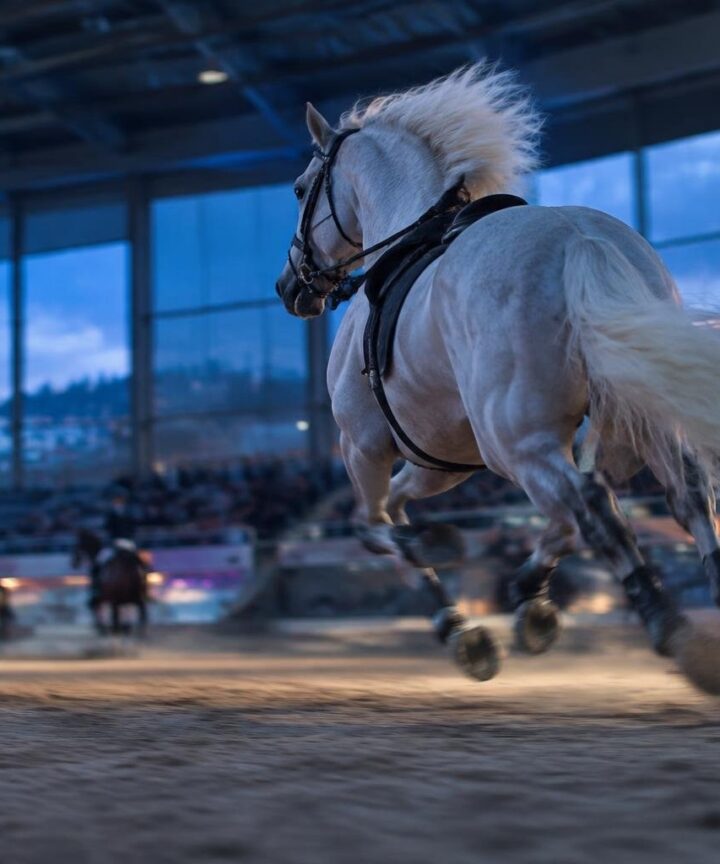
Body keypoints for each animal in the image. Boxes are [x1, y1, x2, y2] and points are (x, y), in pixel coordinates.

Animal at [275, 62, 720, 694]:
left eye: (298, 187)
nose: (290, 287)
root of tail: (581, 243)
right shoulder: (446, 460)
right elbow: (414, 509)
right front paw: (514, 610)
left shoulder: (364, 446)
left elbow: (373, 527)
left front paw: (456, 611)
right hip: (629, 423)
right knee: (682, 494)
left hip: (517, 440)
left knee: (594, 503)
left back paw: (672, 630)